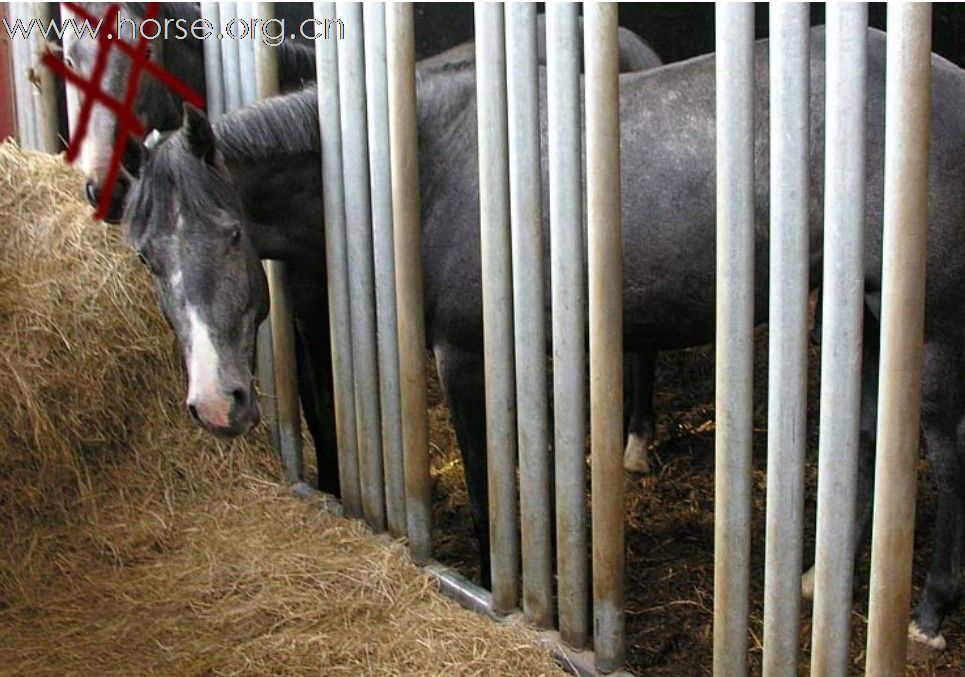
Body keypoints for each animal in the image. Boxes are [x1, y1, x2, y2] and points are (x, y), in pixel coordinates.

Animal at [122, 23, 964, 648]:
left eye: (232, 234)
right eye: (147, 257)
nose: (217, 403)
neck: (422, 167)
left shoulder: (464, 354)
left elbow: (489, 487)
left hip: (924, 330)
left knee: (943, 455)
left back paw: (925, 615)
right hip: (860, 313)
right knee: (865, 436)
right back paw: (822, 580)